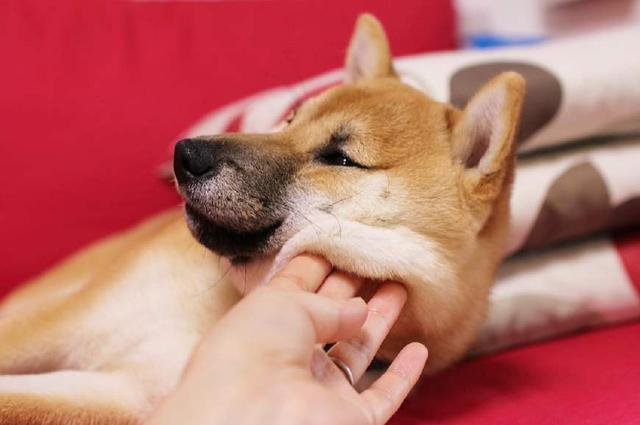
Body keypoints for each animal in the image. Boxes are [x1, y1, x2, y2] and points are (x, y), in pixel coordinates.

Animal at [0, 13, 524, 424]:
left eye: (340, 158)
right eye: (290, 120)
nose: (185, 154)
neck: (229, 302)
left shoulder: (134, 393)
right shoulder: (58, 325)